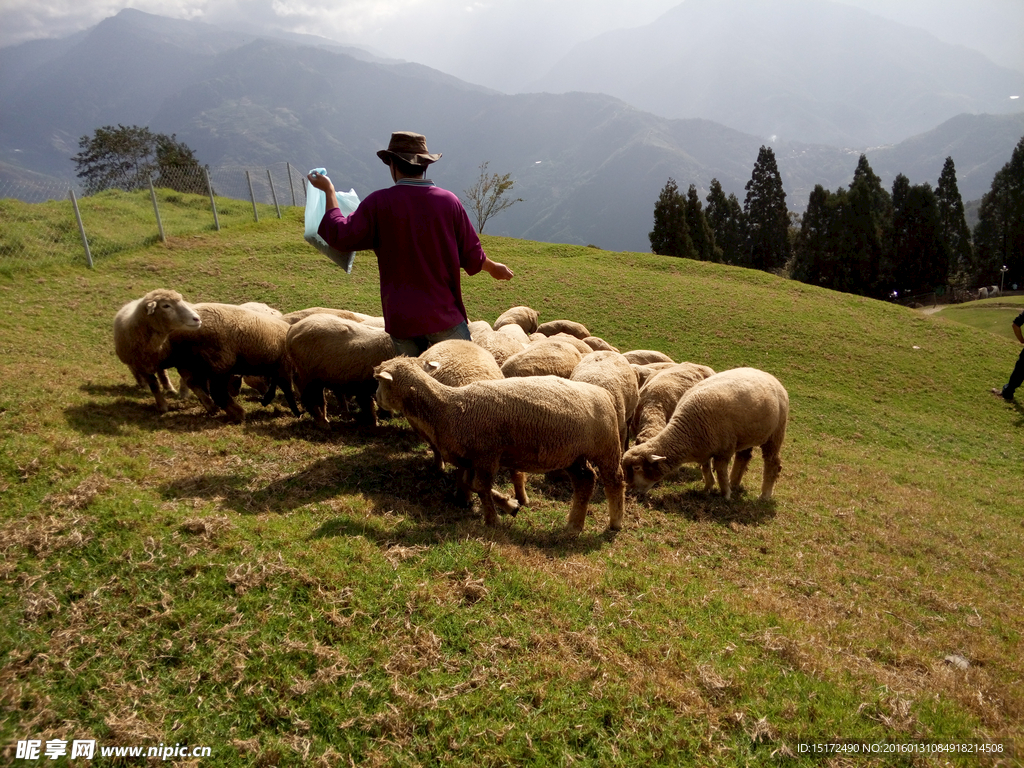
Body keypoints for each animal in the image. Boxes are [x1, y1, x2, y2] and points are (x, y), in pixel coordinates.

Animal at [162, 303, 299, 423]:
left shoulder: (277, 367)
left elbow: (276, 386)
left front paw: (267, 399)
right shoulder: (283, 366)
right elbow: (286, 390)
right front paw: (296, 412)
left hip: (192, 364)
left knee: (197, 384)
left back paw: (213, 407)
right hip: (218, 361)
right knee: (216, 391)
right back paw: (237, 413)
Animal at [374, 356, 622, 532]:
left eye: (379, 383)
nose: (375, 399)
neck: (447, 408)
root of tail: (604, 394)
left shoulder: (487, 454)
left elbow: (480, 486)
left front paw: (493, 520)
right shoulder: (472, 458)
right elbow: (470, 484)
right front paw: (510, 505)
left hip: (607, 449)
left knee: (614, 481)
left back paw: (615, 522)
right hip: (571, 455)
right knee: (585, 481)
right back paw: (573, 526)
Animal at [618, 368, 786, 501]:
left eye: (637, 468)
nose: (629, 493)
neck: (688, 432)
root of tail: (768, 376)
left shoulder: (724, 450)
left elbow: (720, 472)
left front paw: (725, 495)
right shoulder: (705, 447)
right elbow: (705, 468)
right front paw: (708, 487)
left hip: (775, 433)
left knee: (772, 462)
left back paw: (764, 495)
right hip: (746, 435)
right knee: (743, 457)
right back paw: (734, 483)